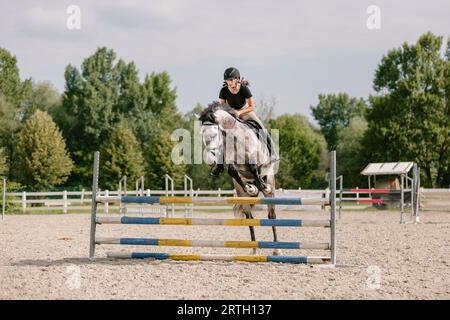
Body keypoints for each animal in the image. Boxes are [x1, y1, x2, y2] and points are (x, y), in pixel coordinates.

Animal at [199, 101, 280, 254]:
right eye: (202, 135)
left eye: (214, 134)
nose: (210, 160)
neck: (235, 138)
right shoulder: (231, 161)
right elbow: (232, 171)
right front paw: (251, 188)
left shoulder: (255, 157)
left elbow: (254, 168)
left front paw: (261, 186)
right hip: (242, 196)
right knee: (250, 219)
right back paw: (254, 251)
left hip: (271, 186)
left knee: (272, 215)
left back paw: (277, 250)